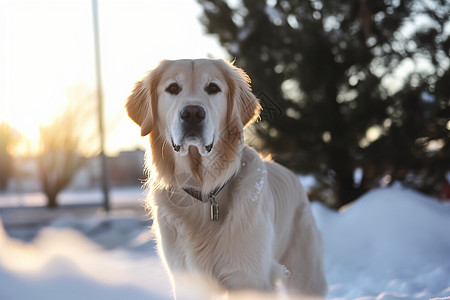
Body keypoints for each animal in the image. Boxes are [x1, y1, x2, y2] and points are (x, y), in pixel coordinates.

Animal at [126, 59, 326, 300]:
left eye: (213, 88)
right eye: (173, 88)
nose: (192, 113)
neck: (204, 190)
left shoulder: (249, 278)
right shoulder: (187, 281)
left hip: (304, 273)